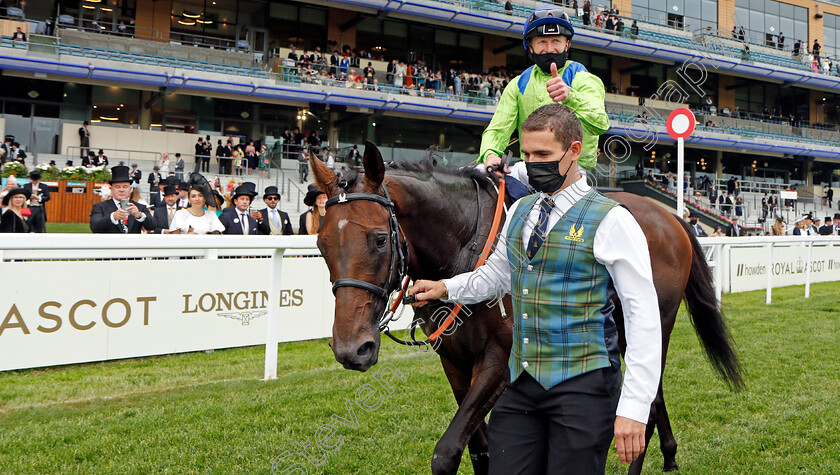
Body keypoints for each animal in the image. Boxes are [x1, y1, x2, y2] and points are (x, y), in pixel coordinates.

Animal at [312, 142, 744, 475]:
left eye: (380, 239)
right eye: (321, 243)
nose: (352, 349)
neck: (464, 245)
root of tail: (672, 217)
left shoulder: (500, 361)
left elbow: (446, 452)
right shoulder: (454, 360)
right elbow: (479, 449)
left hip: (655, 321)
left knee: (648, 405)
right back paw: (670, 455)